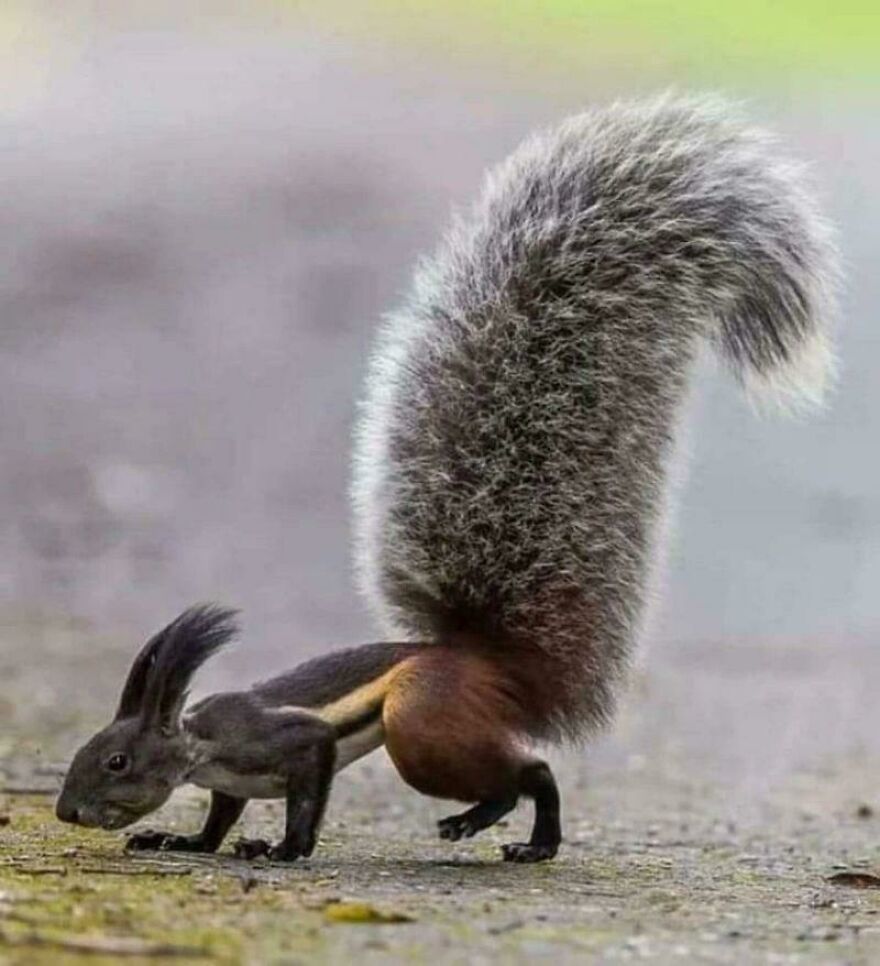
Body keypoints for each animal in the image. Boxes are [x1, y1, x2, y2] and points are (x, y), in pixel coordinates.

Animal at [57, 95, 839, 863]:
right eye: (87, 751)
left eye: (117, 760)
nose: (67, 811)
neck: (200, 743)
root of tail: (484, 663)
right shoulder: (232, 780)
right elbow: (219, 815)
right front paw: (184, 838)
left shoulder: (292, 741)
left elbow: (307, 785)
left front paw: (282, 849)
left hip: (421, 725)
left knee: (532, 770)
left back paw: (514, 833)